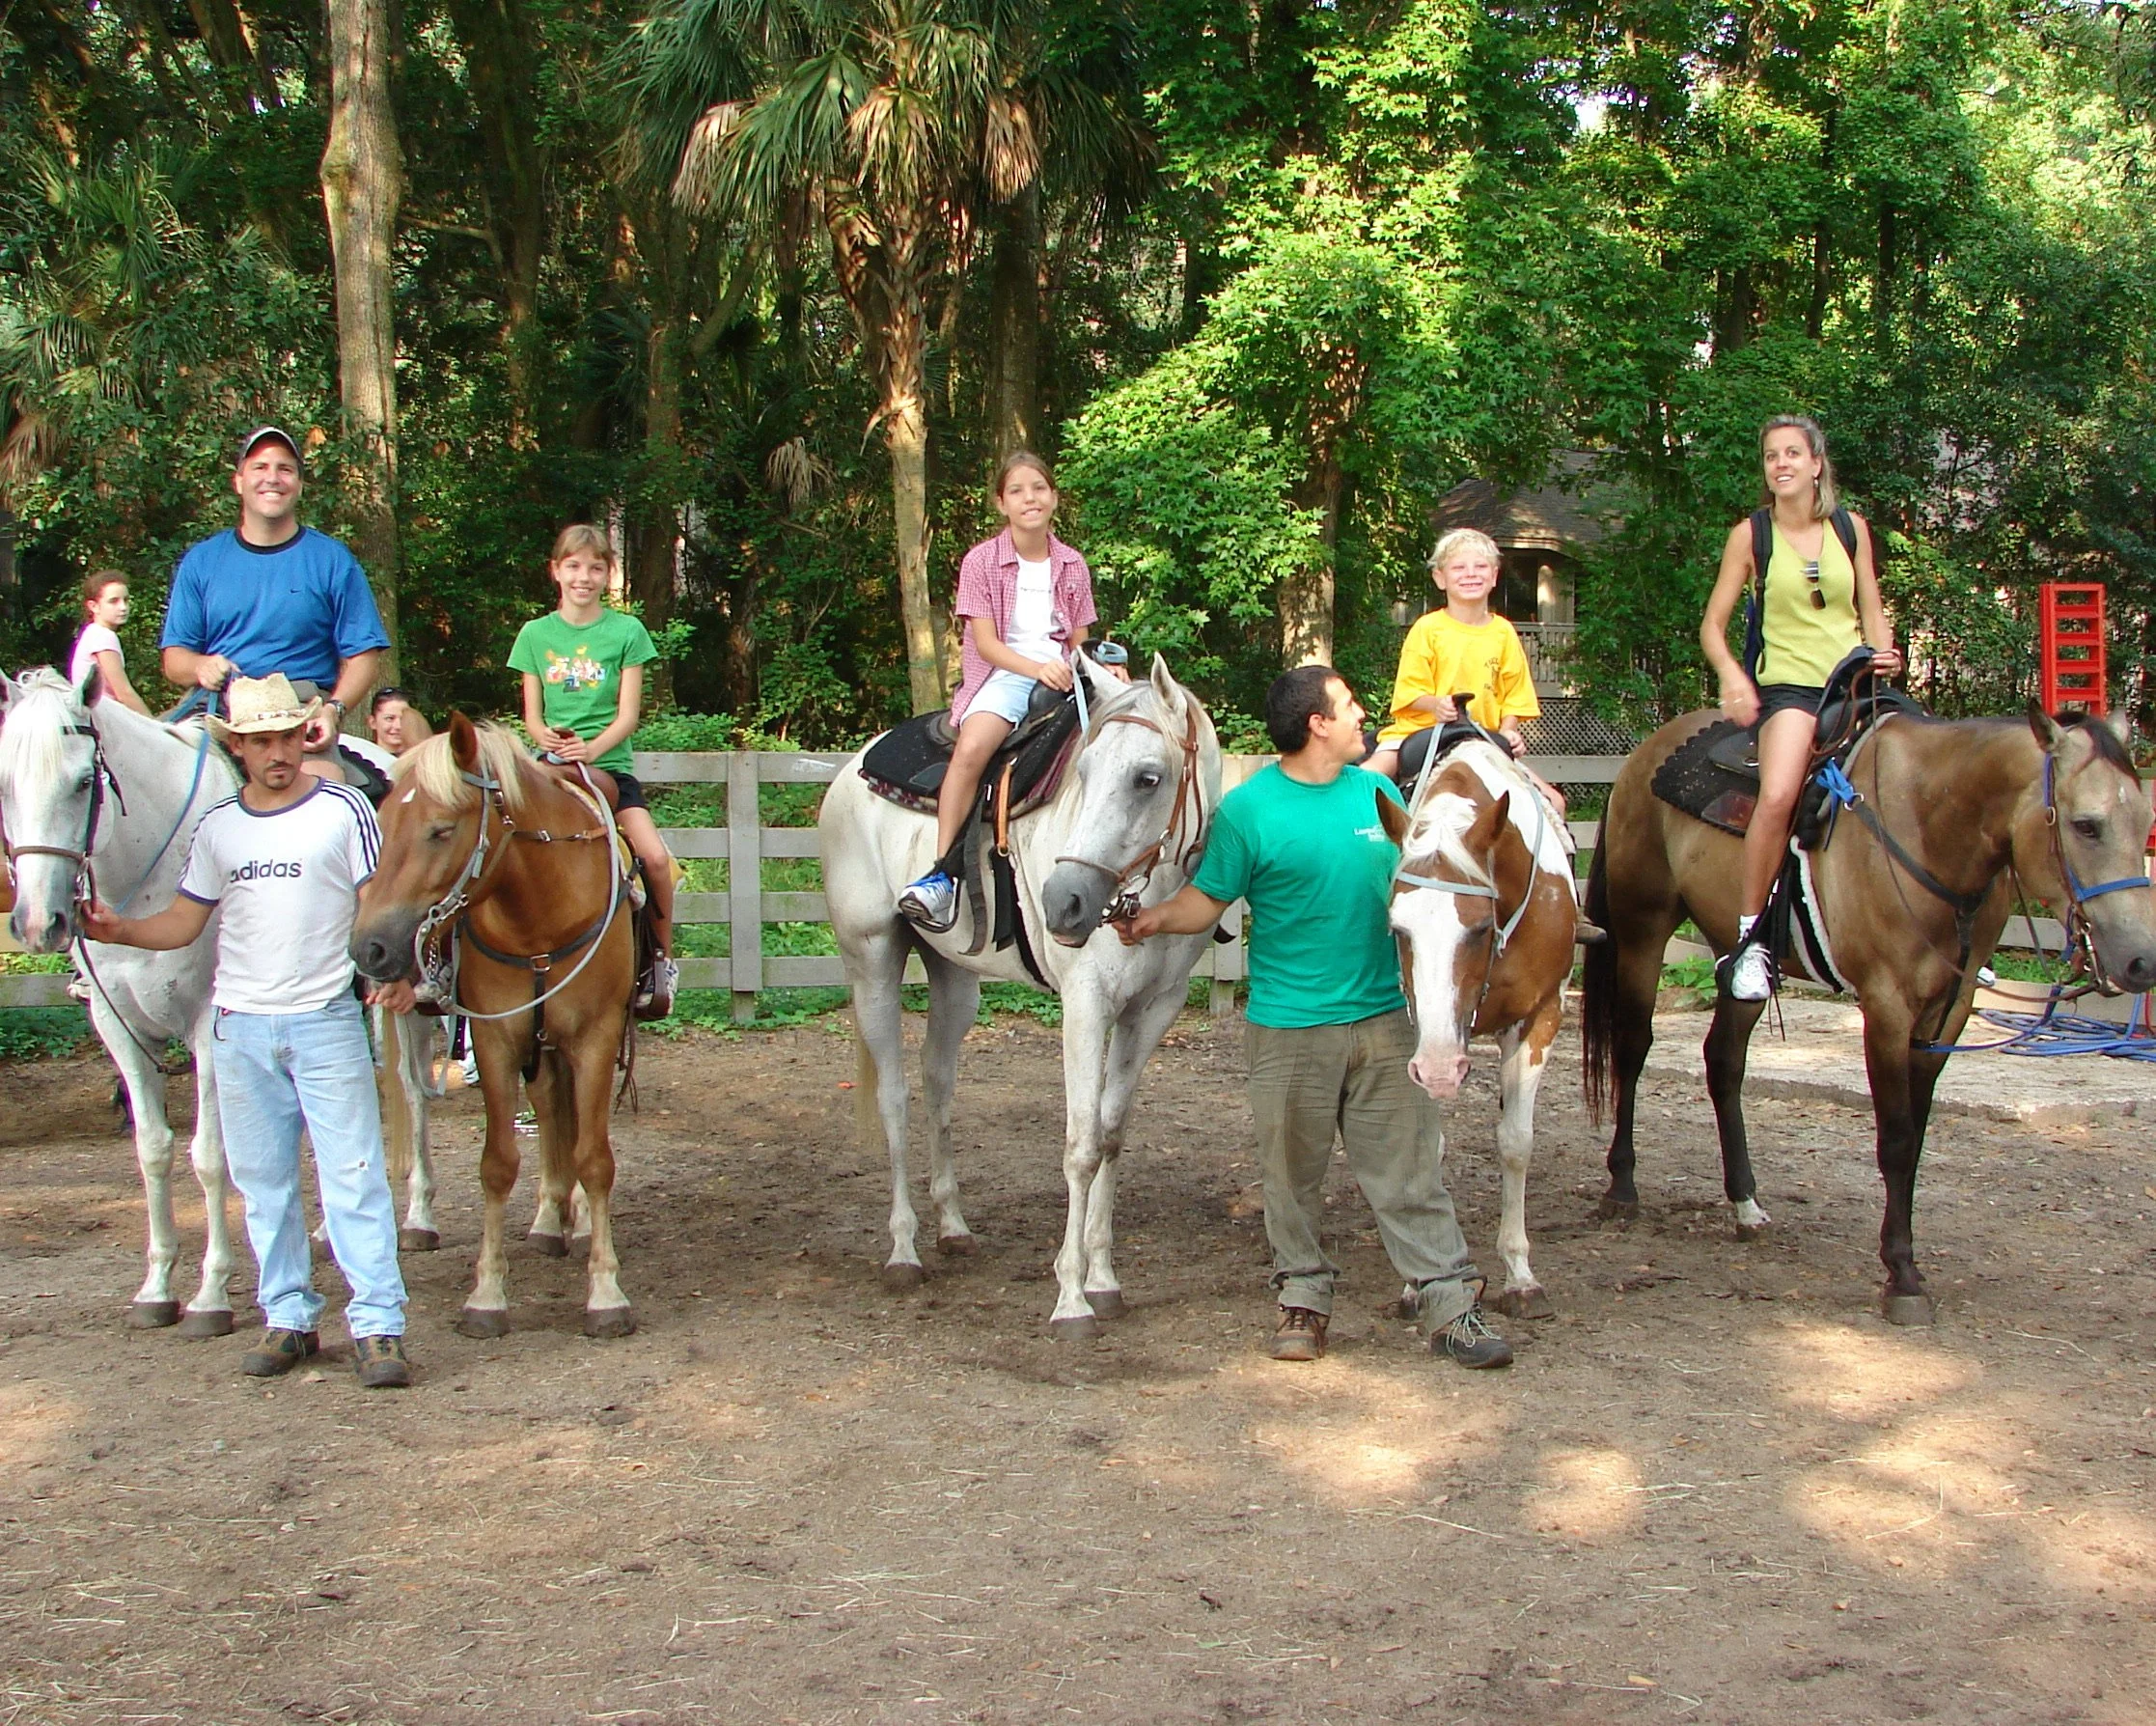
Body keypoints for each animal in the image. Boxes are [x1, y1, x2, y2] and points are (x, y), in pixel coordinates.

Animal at [0, 666, 238, 1333]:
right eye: (4, 785)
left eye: (84, 783)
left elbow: (208, 1156)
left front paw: (212, 1292)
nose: (38, 923)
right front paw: (157, 1286)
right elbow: (153, 1150)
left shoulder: (208, 1026)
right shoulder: (116, 1026)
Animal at [349, 714, 639, 1338]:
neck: (539, 915)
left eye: (440, 830)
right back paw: (549, 1220)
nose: (370, 948)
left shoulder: (597, 1036)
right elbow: (498, 1164)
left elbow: (595, 1159)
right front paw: (486, 1294)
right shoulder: (497, 1040)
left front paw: (606, 1292)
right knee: (550, 1107)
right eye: (383, 824)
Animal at [819, 654, 1222, 1336]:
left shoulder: (1151, 1012)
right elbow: (1081, 1146)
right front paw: (1071, 1299)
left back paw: (953, 1227)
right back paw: (903, 1251)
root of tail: (852, 770)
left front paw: (1104, 1279)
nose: (1065, 902)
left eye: (1148, 778)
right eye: (1082, 771)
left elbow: (1111, 1136)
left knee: (937, 1080)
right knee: (895, 1097)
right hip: (871, 960)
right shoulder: (1086, 1007)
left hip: (954, 975)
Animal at [1380, 738, 1580, 1319]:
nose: (1441, 1069)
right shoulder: (1417, 1031)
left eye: (1479, 927)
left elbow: (1515, 1142)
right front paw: (1417, 1274)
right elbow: (1423, 1150)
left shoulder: (1541, 1016)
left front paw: (1520, 1274)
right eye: (1398, 929)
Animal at [1583, 704, 2156, 1324]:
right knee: (1632, 1047)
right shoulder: (1886, 1007)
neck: (1932, 828)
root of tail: (1646, 753)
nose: (2141, 961)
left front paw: (1905, 1260)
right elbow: (1897, 1140)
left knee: (1724, 1061)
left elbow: (1917, 1138)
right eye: (2086, 825)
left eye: (2143, 818)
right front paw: (1902, 1274)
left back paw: (1746, 1203)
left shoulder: (1946, 1014)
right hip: (1643, 930)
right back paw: (1622, 1187)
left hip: (1734, 955)